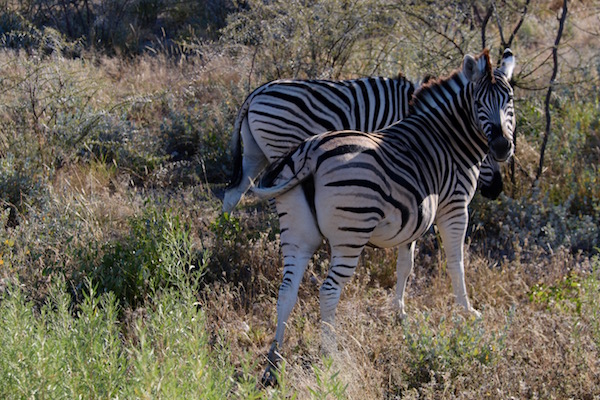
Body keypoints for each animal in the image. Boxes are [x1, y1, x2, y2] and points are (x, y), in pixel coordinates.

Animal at [222, 75, 503, 214]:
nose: (497, 191)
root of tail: (256, 92)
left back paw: (226, 235)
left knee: (233, 193)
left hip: (256, 151)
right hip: (280, 148)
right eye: (484, 150)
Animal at [252, 49, 516, 384]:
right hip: (351, 233)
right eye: (479, 102)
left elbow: (405, 266)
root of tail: (310, 152)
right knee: (328, 292)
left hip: (298, 235)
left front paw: (399, 312)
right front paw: (468, 311)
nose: (502, 148)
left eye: (509, 99)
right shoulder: (454, 207)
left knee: (286, 292)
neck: (447, 138)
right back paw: (331, 357)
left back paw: (273, 363)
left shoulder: (414, 217)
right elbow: (456, 263)